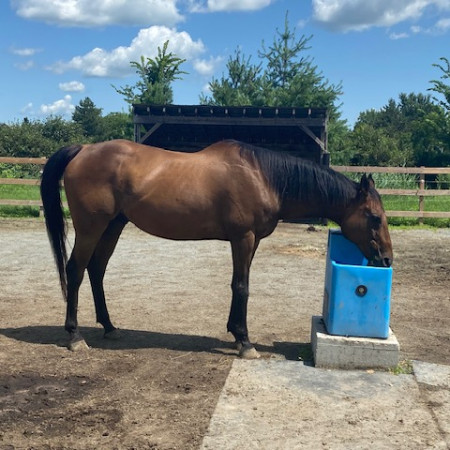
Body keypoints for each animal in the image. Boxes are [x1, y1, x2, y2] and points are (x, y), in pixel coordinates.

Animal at [41, 139, 394, 356]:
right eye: (375, 217)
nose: (387, 259)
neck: (262, 177)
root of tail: (83, 150)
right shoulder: (243, 238)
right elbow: (242, 286)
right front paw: (245, 341)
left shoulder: (250, 241)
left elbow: (238, 284)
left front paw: (235, 332)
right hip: (91, 227)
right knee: (75, 271)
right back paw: (74, 336)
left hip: (114, 225)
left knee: (96, 270)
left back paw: (110, 326)